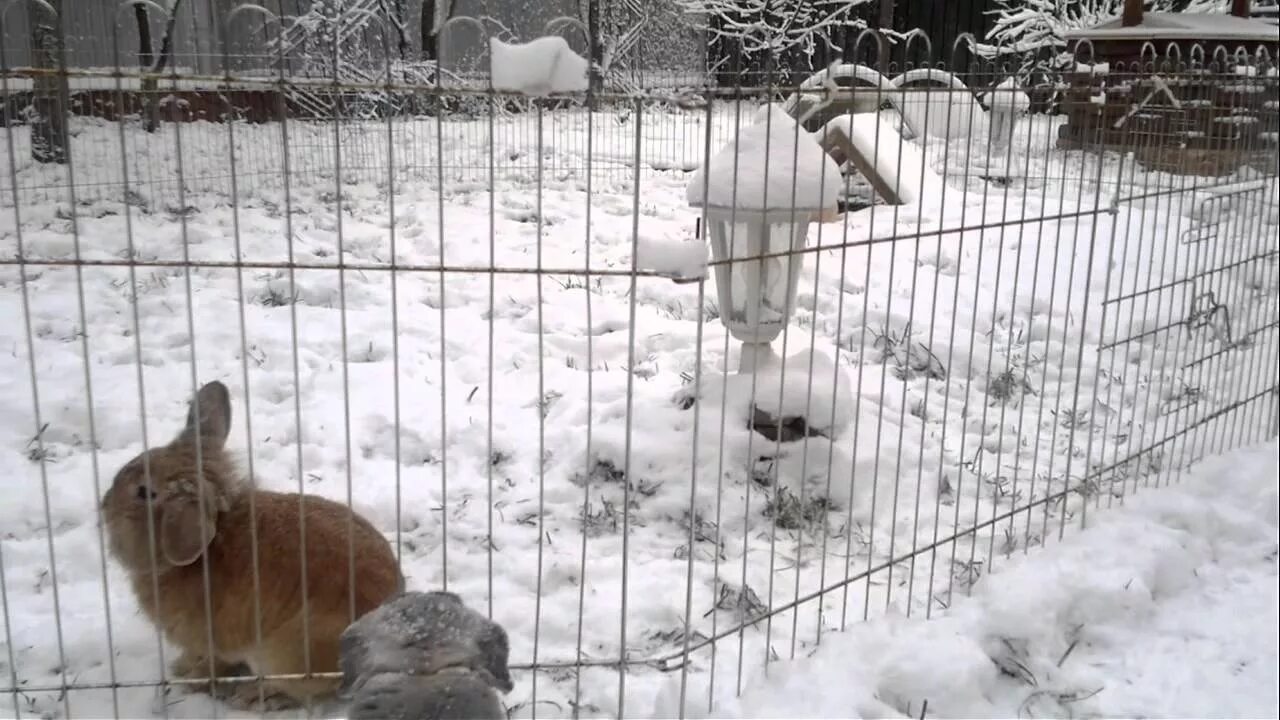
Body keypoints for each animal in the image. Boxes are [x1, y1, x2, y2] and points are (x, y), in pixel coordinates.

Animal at [106, 381, 404, 707]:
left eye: (144, 493)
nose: (104, 508)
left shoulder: (211, 643)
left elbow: (211, 665)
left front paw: (188, 679)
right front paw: (181, 667)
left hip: (284, 656)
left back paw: (251, 696)